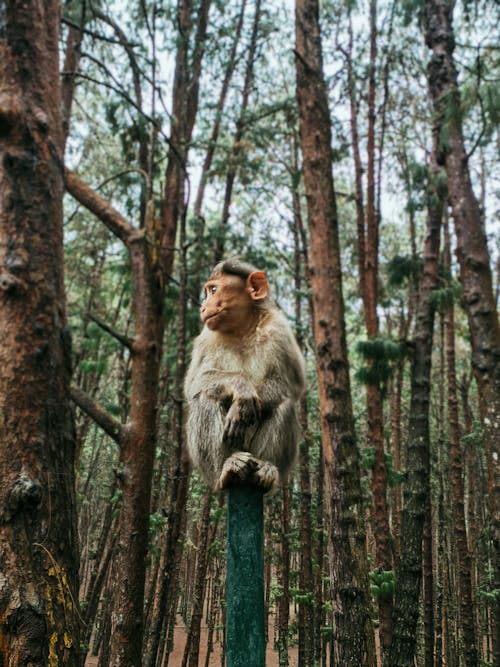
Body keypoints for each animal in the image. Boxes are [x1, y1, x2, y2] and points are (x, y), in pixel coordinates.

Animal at [185, 258, 304, 494]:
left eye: (214, 290)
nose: (203, 307)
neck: (242, 329)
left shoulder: (279, 329)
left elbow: (293, 384)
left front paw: (240, 409)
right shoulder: (206, 337)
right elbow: (194, 383)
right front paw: (241, 389)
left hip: (254, 452)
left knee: (284, 404)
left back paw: (267, 469)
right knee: (204, 397)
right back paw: (227, 469)